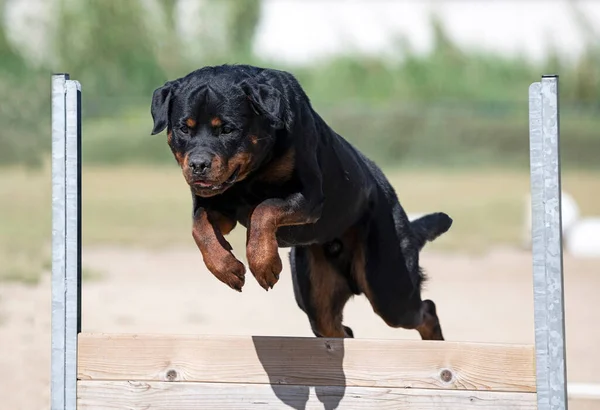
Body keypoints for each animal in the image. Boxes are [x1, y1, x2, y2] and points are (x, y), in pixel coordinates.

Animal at [150, 64, 450, 340]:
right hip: (316, 290)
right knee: (336, 328)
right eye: (183, 128)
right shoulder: (215, 205)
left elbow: (264, 209)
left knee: (424, 309)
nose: (198, 164)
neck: (252, 173)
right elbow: (200, 227)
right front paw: (227, 268)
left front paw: (264, 264)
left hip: (387, 282)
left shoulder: (309, 197)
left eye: (227, 129)